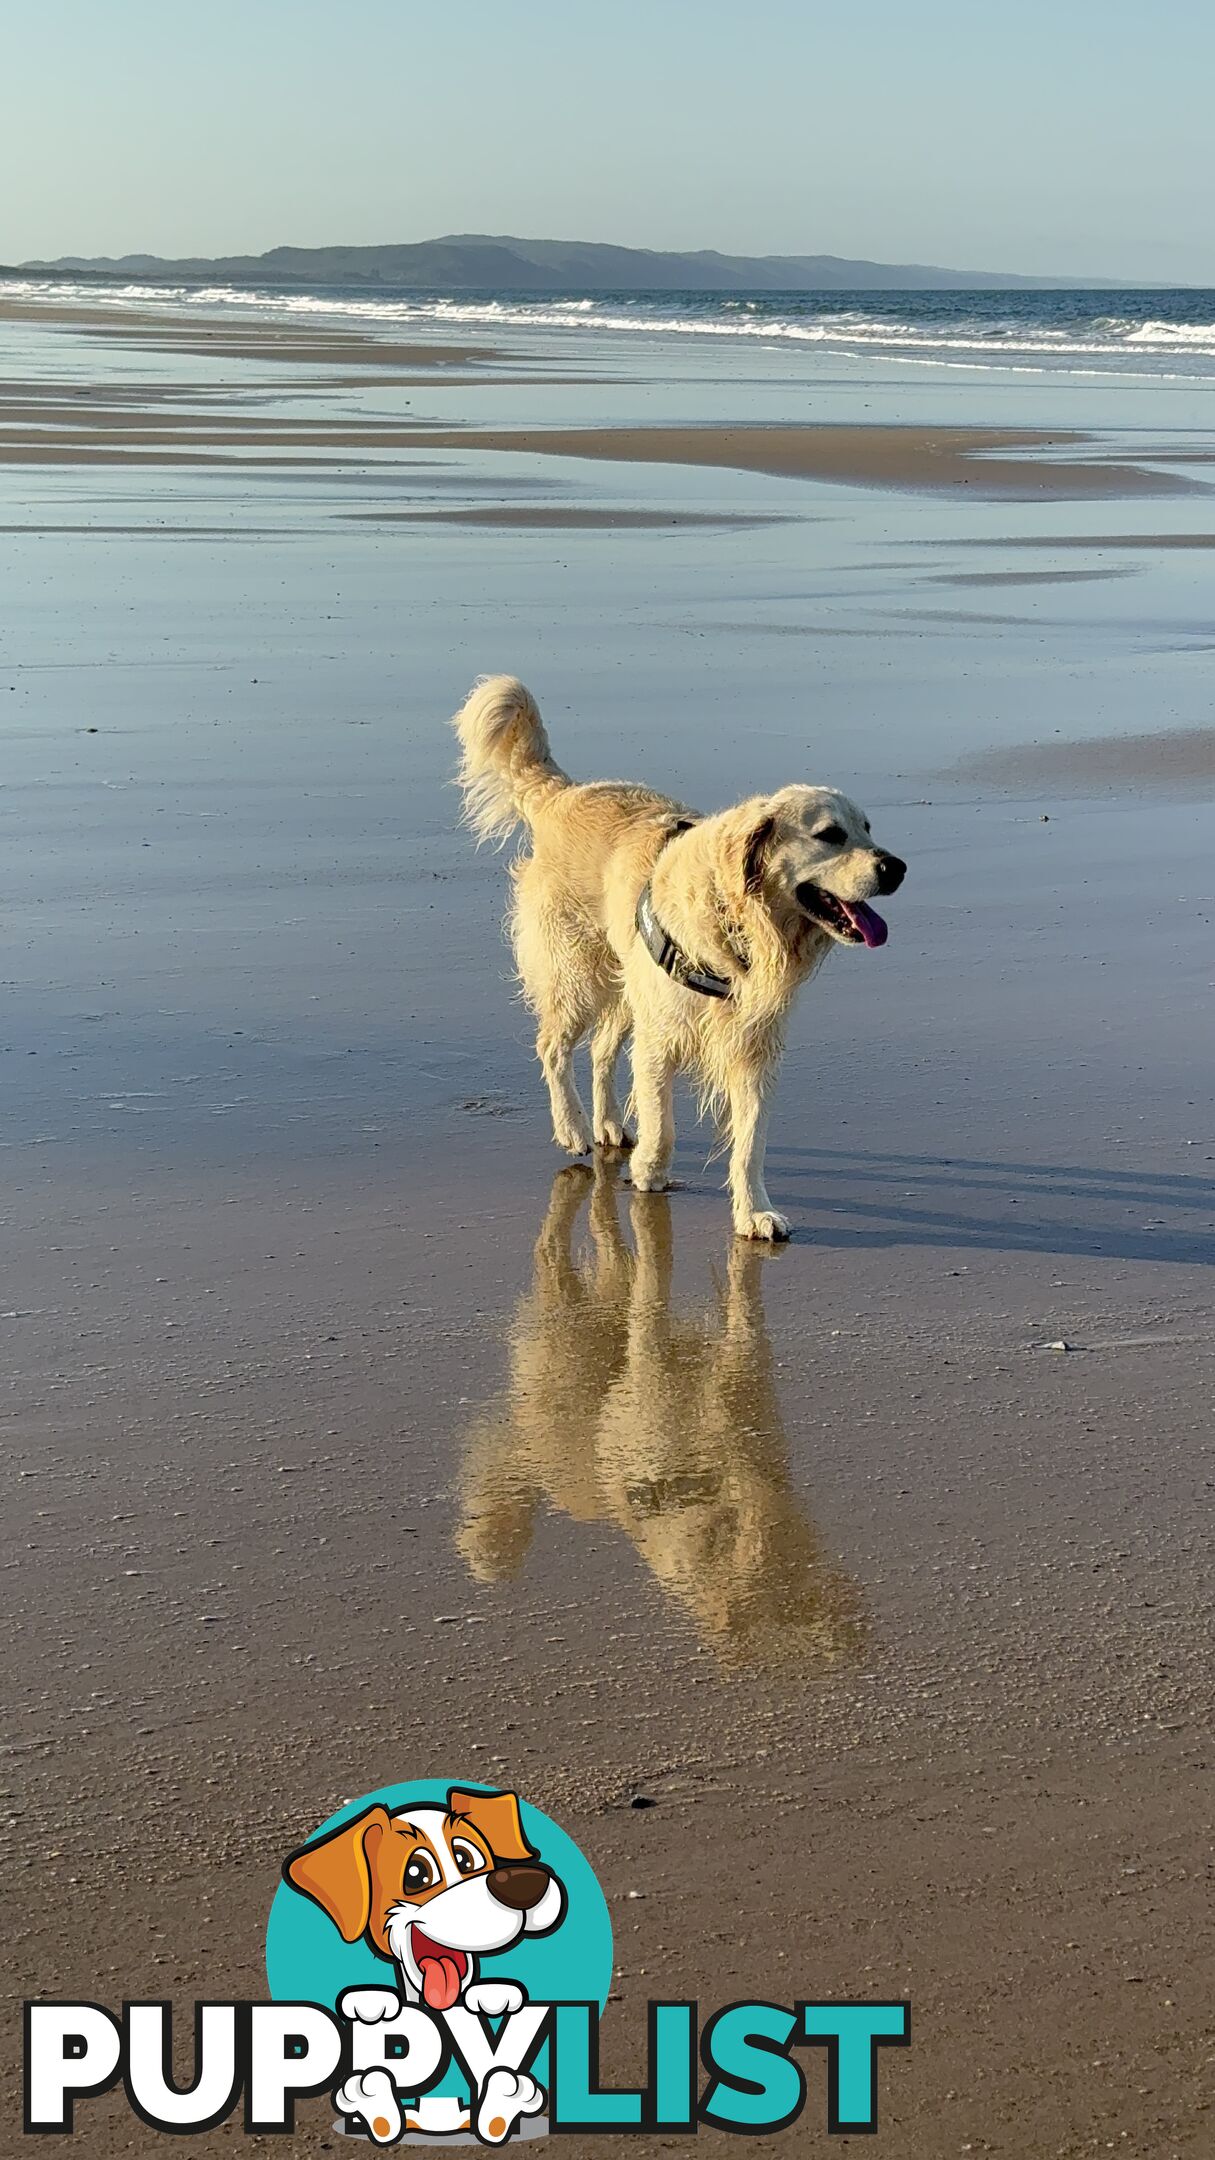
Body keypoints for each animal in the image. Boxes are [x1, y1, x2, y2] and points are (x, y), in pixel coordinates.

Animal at [451, 673, 899, 1252]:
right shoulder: (664, 1032)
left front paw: (755, 1212)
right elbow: (661, 1119)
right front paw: (651, 1172)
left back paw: (608, 1124)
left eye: (868, 828)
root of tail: (564, 794)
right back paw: (572, 1128)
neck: (740, 922)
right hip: (580, 975)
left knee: (600, 1052)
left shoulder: (752, 1045)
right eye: (830, 834)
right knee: (553, 1047)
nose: (897, 867)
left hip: (626, 989)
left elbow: (751, 1139)